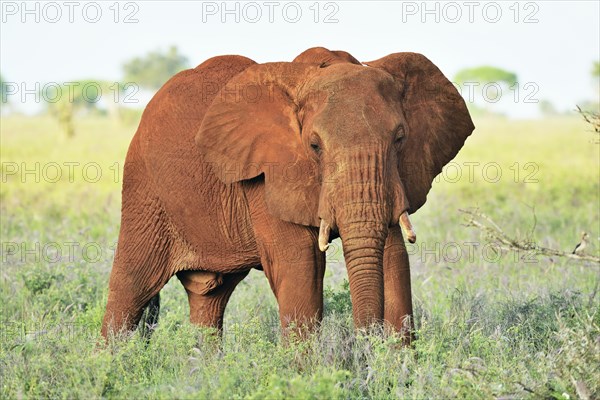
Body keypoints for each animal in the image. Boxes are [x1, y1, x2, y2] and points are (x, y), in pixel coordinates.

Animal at [101, 46, 476, 340]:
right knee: (130, 286)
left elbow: (394, 257)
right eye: (314, 146)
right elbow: (300, 266)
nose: (364, 343)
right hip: (145, 190)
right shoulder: (268, 175)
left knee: (210, 297)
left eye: (400, 139)